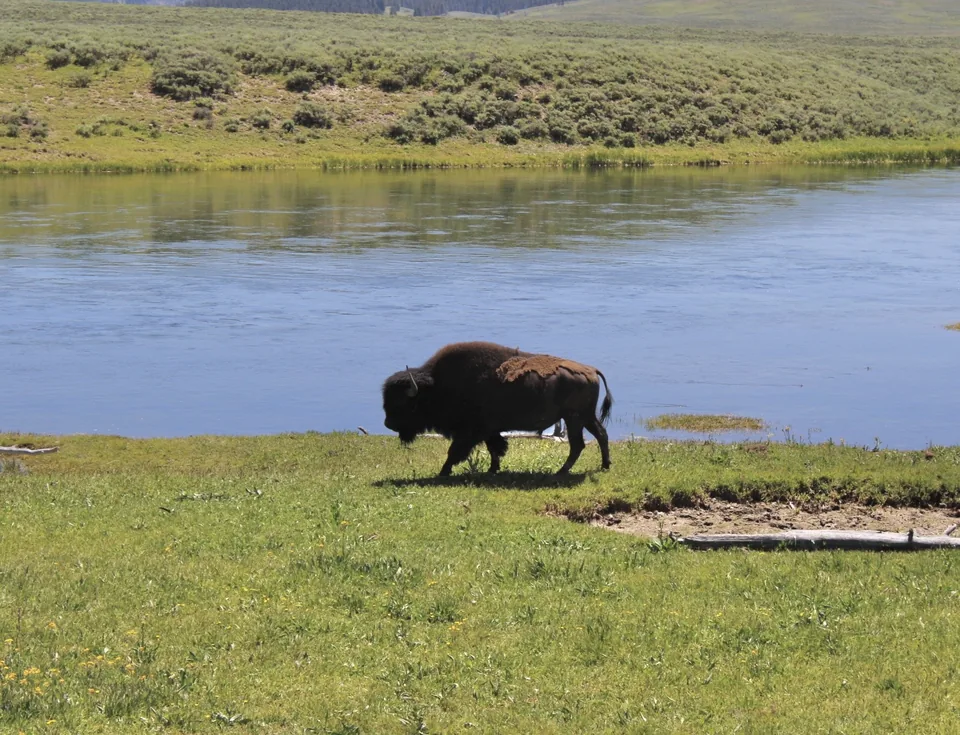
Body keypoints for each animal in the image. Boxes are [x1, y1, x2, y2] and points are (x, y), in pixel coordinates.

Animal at [382, 341, 613, 476]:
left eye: (403, 404)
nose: (388, 424)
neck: (437, 386)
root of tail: (592, 370)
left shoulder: (471, 432)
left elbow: (455, 451)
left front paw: (443, 472)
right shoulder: (489, 431)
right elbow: (495, 448)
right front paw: (493, 470)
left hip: (575, 418)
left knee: (578, 444)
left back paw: (561, 472)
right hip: (585, 417)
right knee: (601, 435)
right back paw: (604, 466)